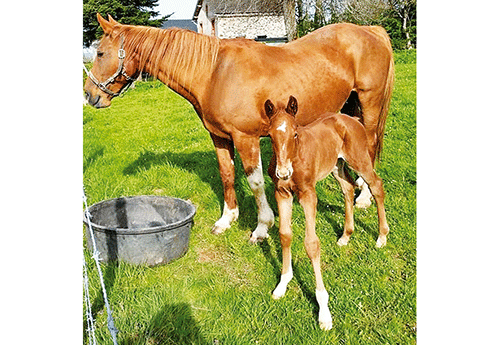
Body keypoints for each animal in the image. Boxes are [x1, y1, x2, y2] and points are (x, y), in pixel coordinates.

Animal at [83, 14, 394, 242]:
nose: (90, 95)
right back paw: (356, 184)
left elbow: (255, 182)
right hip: (349, 107)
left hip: (369, 104)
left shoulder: (247, 138)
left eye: (100, 53)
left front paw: (262, 227)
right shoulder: (220, 137)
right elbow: (227, 174)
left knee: (369, 145)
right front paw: (227, 219)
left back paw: (364, 196)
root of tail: (370, 31)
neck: (213, 73)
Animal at [266, 95, 390, 330]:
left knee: (376, 185)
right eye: (270, 135)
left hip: (359, 159)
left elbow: (312, 244)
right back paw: (346, 235)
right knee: (348, 188)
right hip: (336, 165)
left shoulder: (308, 194)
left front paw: (324, 311)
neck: (296, 156)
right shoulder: (282, 193)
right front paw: (282, 284)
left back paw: (381, 236)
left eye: (295, 133)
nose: (283, 172)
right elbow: (285, 235)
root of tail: (352, 120)